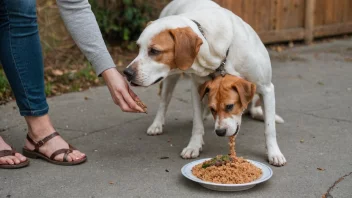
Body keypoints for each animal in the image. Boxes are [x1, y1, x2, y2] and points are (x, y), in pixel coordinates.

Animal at [124, 0, 286, 166]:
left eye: (154, 51)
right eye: (138, 48)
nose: (126, 73)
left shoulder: (266, 88)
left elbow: (269, 128)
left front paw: (274, 153)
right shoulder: (197, 89)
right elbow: (197, 124)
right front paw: (194, 146)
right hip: (169, 80)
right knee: (164, 103)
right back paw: (157, 124)